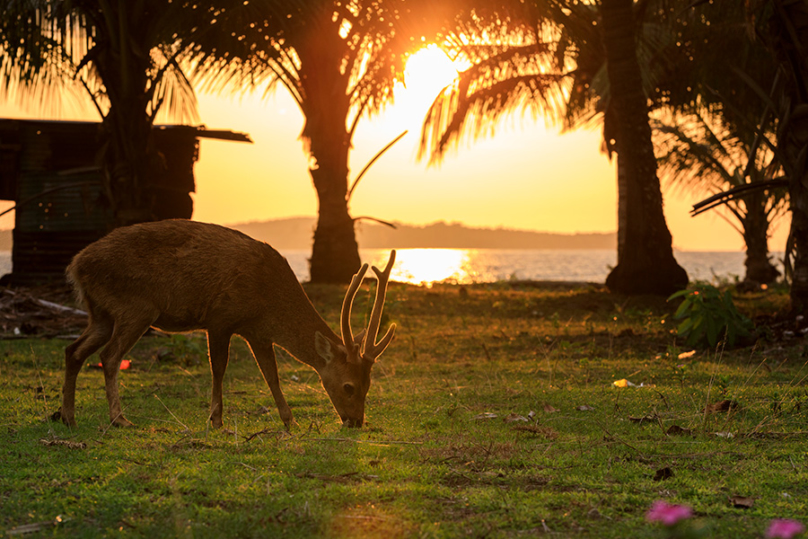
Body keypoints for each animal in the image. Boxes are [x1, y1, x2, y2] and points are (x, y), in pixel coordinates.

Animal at [56, 219, 398, 430]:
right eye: (349, 386)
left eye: (369, 385)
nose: (356, 422)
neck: (268, 302)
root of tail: (75, 266)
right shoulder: (220, 318)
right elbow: (219, 367)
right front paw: (216, 420)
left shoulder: (257, 332)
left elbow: (271, 375)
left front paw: (290, 421)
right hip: (136, 307)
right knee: (110, 356)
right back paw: (119, 419)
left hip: (100, 312)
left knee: (73, 350)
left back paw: (68, 418)